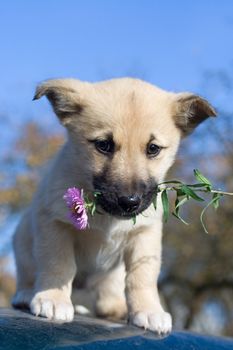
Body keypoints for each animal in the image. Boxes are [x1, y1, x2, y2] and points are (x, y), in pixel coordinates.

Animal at [11, 78, 216, 332]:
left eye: (153, 148)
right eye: (104, 145)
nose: (129, 202)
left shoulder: (145, 235)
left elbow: (142, 277)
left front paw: (149, 310)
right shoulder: (54, 223)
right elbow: (58, 263)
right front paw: (54, 298)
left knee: (107, 299)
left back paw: (117, 309)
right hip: (22, 240)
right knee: (28, 274)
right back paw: (26, 294)